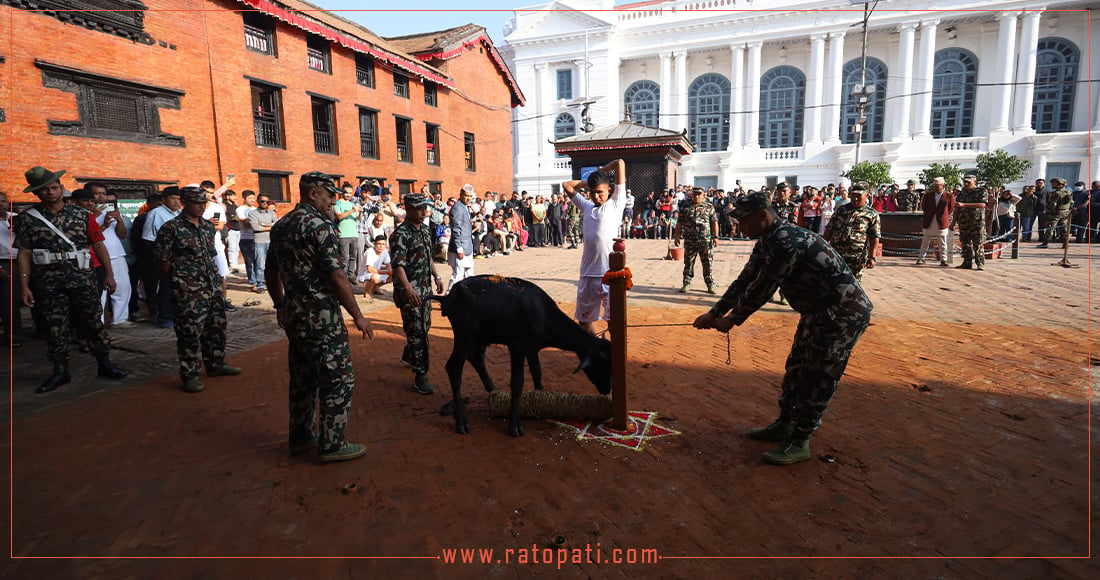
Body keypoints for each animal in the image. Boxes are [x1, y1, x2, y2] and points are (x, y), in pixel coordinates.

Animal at [433, 276, 616, 435]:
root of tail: (448, 297)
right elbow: (517, 382)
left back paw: (492, 389)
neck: (542, 313)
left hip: (479, 338)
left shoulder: (532, 349)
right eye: (603, 364)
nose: (607, 388)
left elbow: (537, 371)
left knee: (476, 358)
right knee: (454, 367)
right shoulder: (517, 347)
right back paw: (461, 421)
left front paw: (542, 399)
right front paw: (515, 425)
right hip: (464, 336)